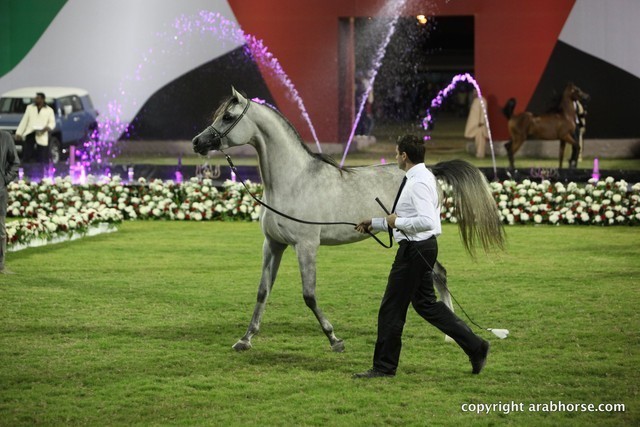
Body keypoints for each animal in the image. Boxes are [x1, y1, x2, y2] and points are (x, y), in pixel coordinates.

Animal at [192, 87, 505, 352]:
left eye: (228, 116)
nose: (197, 142)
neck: (292, 182)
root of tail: (427, 169)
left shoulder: (306, 245)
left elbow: (309, 295)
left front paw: (334, 339)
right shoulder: (272, 244)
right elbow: (262, 291)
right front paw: (245, 339)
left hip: (418, 238)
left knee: (439, 273)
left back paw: (450, 334)